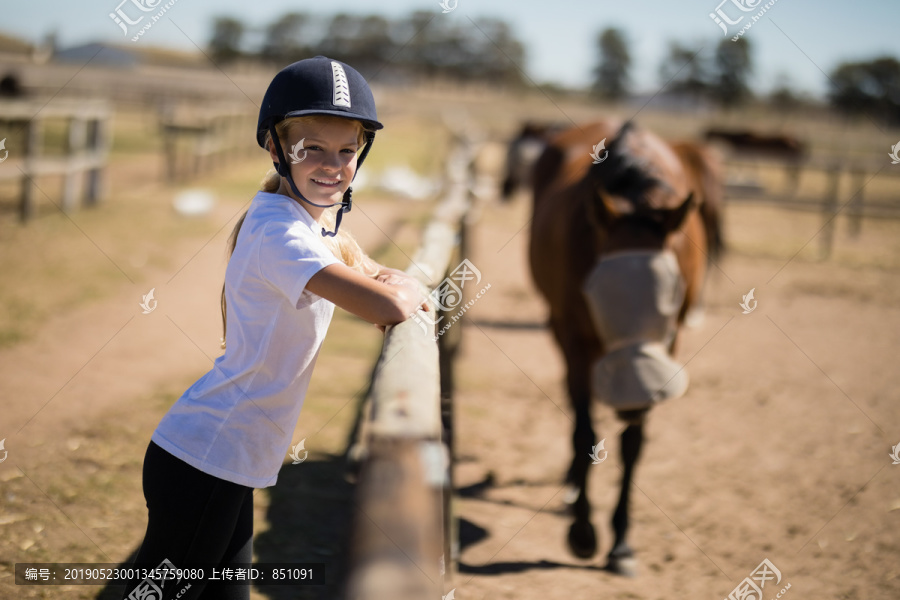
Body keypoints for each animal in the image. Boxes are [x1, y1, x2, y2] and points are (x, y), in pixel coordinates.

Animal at [528, 119, 724, 576]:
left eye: (672, 300)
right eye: (597, 294)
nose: (633, 398)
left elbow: (633, 444)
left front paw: (621, 543)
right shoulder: (576, 341)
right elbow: (585, 431)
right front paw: (584, 532)